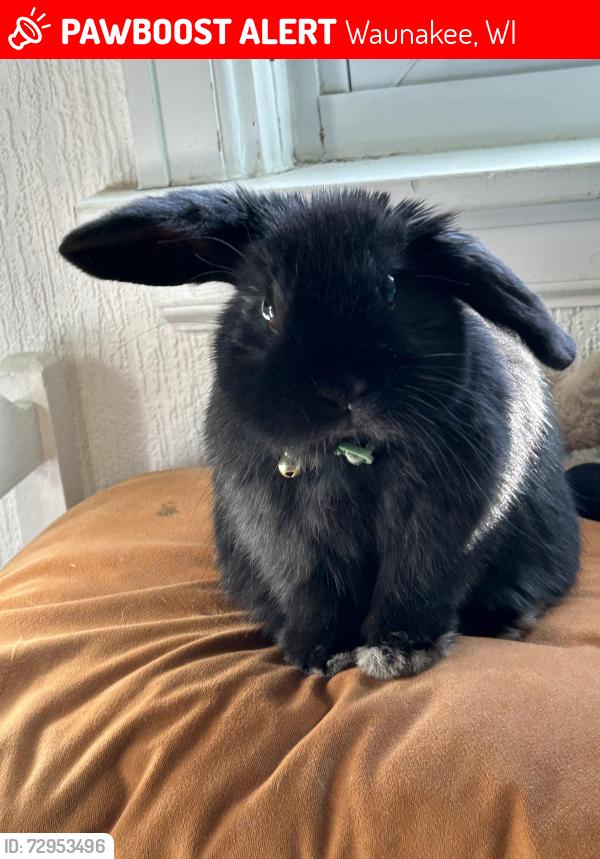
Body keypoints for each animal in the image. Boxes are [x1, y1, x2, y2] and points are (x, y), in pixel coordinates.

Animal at [59, 188, 580, 680]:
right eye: (267, 307)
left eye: (391, 286)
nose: (342, 385)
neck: (354, 454)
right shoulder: (291, 537)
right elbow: (315, 589)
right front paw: (321, 653)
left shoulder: (441, 526)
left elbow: (416, 581)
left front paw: (398, 651)